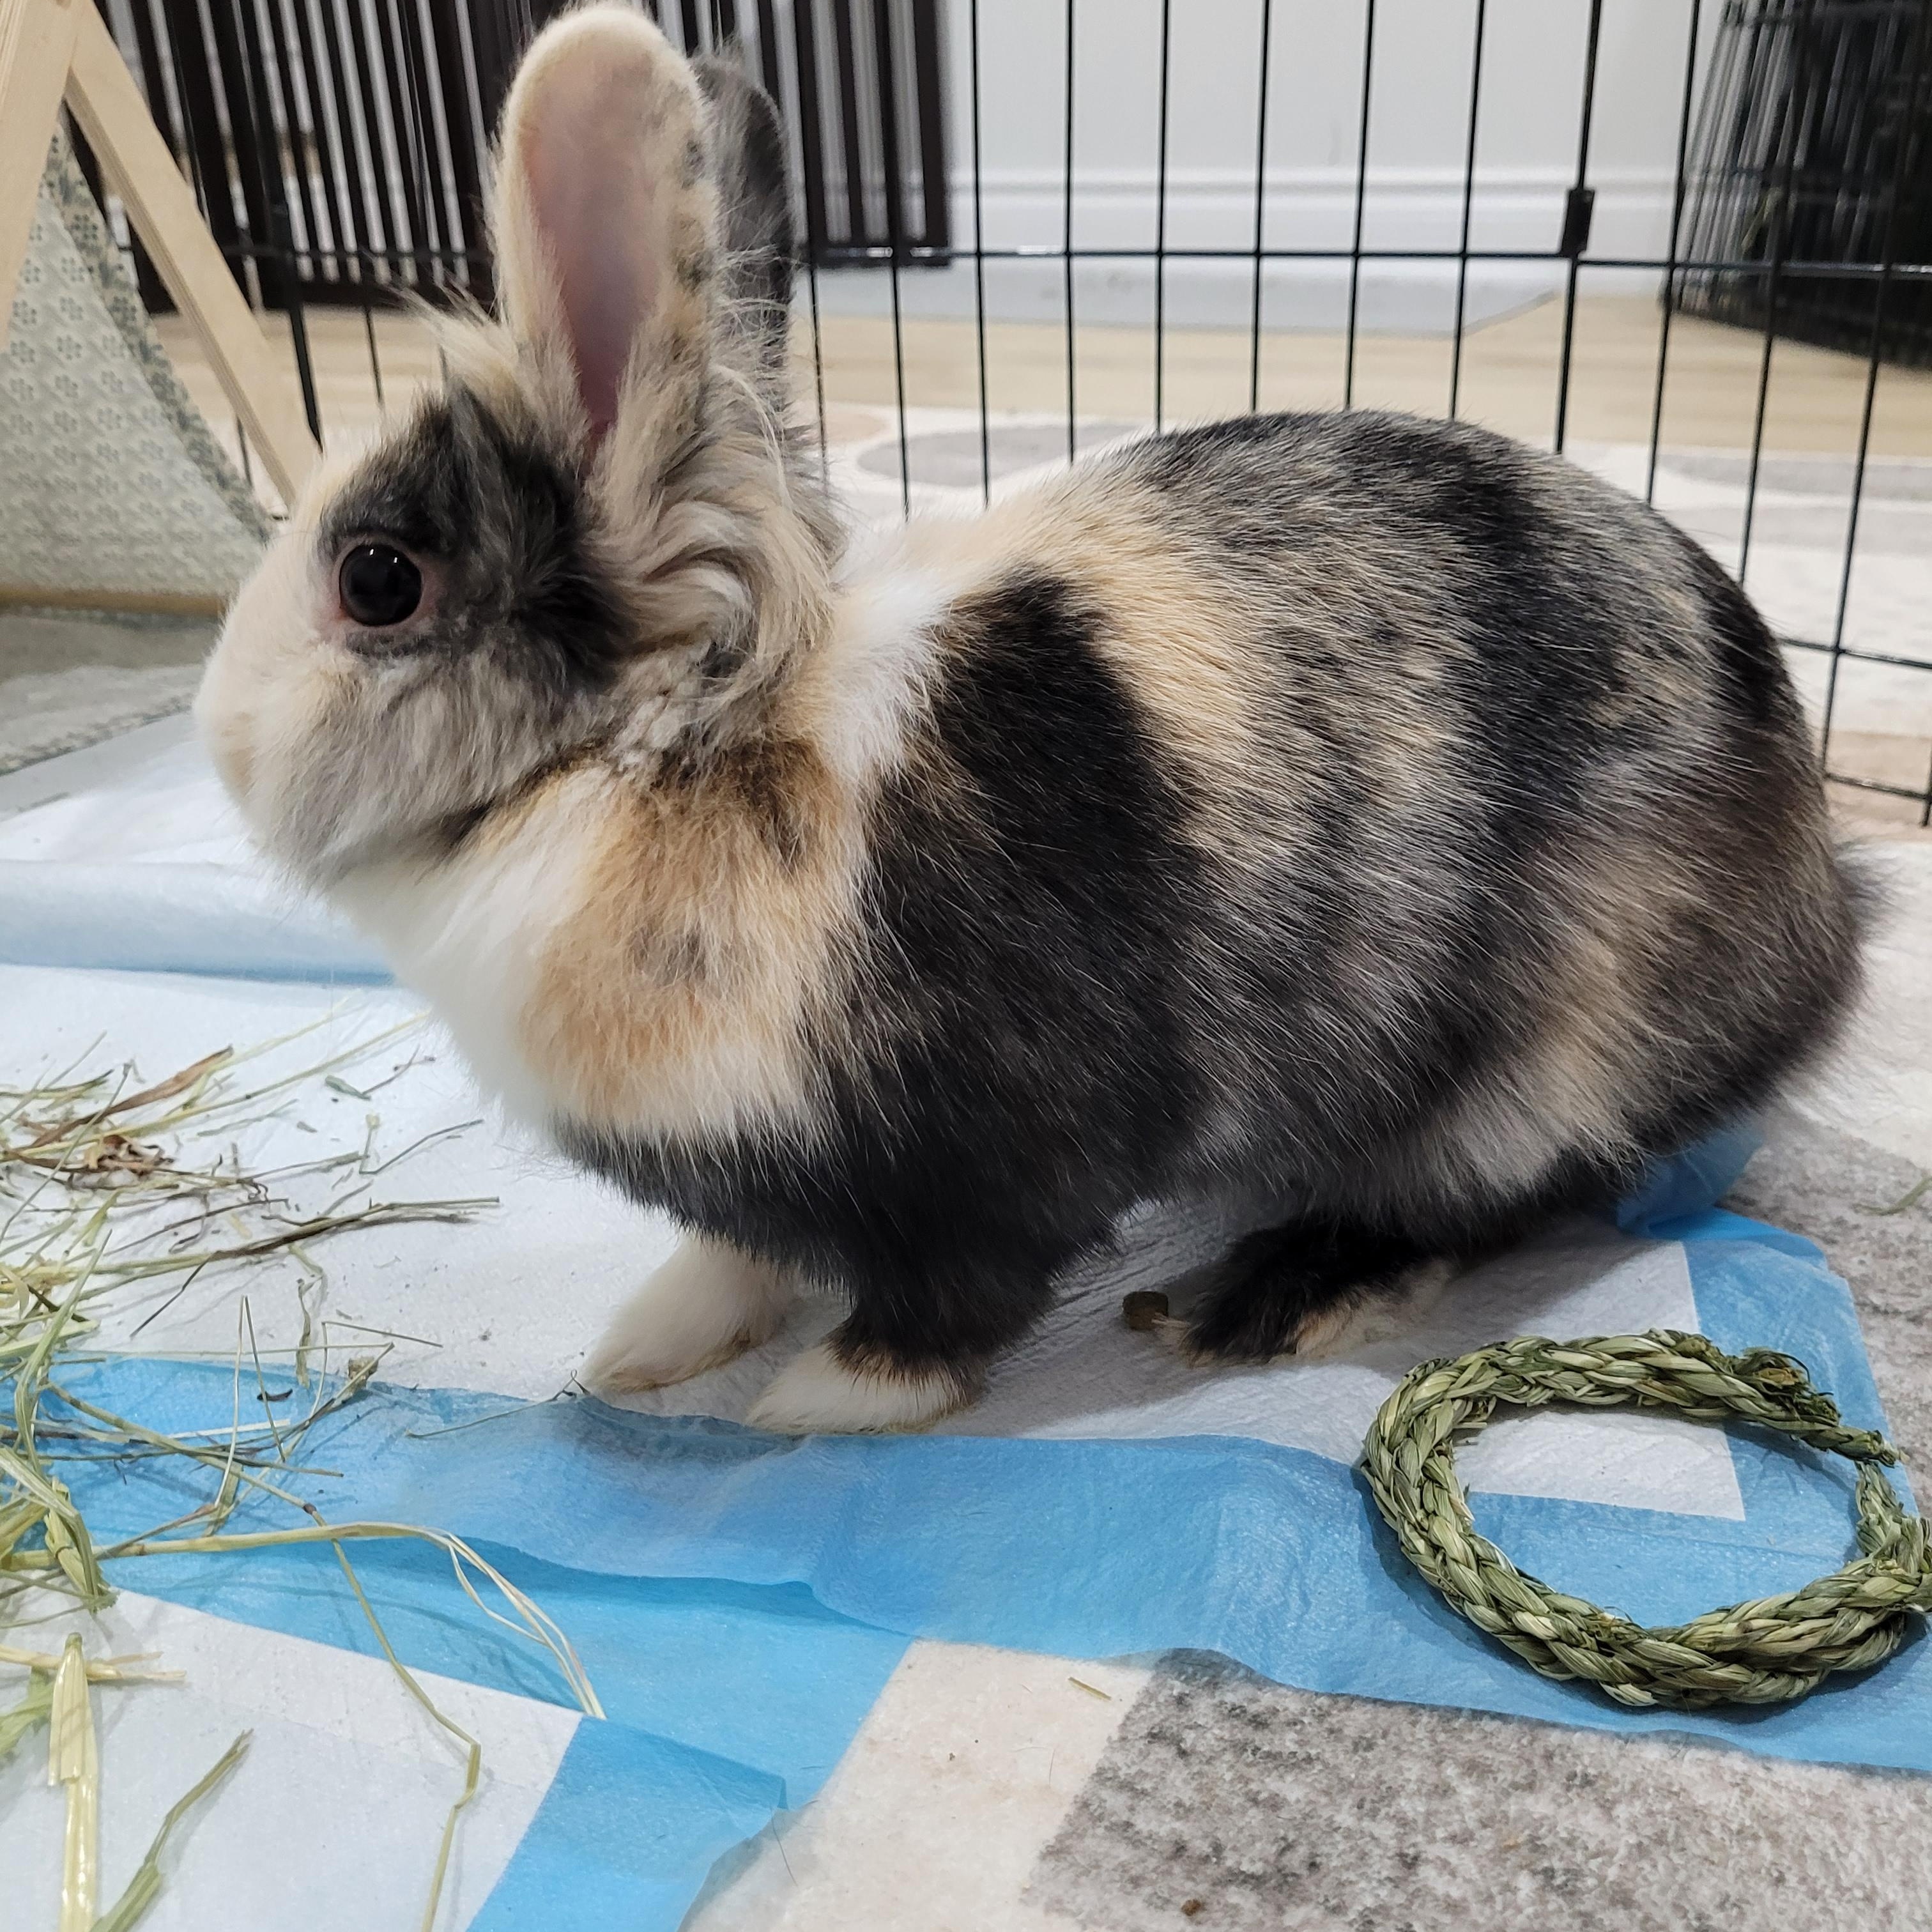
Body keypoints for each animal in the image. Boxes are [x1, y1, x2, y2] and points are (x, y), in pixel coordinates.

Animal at [196, 4, 1867, 1435]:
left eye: (378, 578)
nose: (217, 734)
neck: (662, 763)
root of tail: (1827, 903)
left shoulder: (977, 1161)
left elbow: (955, 1300)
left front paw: (821, 1405)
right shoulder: (761, 1172)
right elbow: (744, 1258)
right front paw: (644, 1350)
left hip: (1542, 1062)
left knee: (1492, 1193)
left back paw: (1268, 1301)